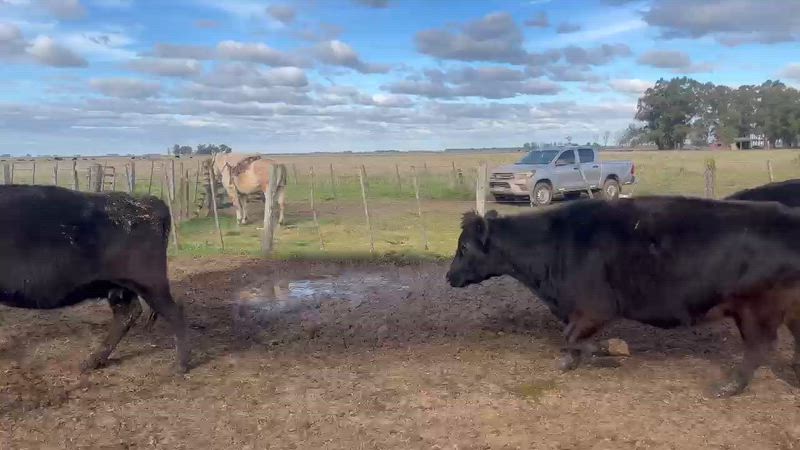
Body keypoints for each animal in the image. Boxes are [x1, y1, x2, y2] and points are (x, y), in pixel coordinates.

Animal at [0, 185, 190, 373]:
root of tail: (145, 201)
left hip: (150, 284)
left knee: (174, 312)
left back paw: (180, 365)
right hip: (119, 287)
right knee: (128, 314)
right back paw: (93, 362)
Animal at [446, 196, 800, 397]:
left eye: (464, 247)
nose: (449, 277)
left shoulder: (595, 308)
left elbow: (571, 337)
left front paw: (611, 350)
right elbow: (569, 339)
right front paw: (571, 361)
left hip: (756, 308)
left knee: (759, 348)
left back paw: (729, 387)